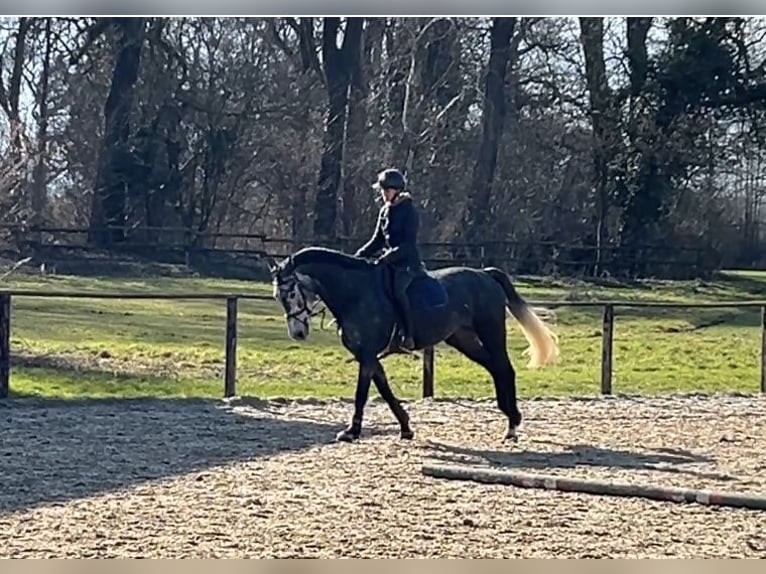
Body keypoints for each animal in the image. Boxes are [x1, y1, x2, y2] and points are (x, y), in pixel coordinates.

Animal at [270, 249, 560, 446]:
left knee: (505, 369)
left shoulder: (367, 354)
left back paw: (512, 426)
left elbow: (362, 394)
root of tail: (485, 275)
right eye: (277, 296)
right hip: (463, 339)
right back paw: (511, 421)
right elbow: (385, 390)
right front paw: (406, 427)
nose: (298, 333)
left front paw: (351, 432)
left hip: (491, 332)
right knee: (495, 368)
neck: (355, 294)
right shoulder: (367, 356)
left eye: (292, 293)